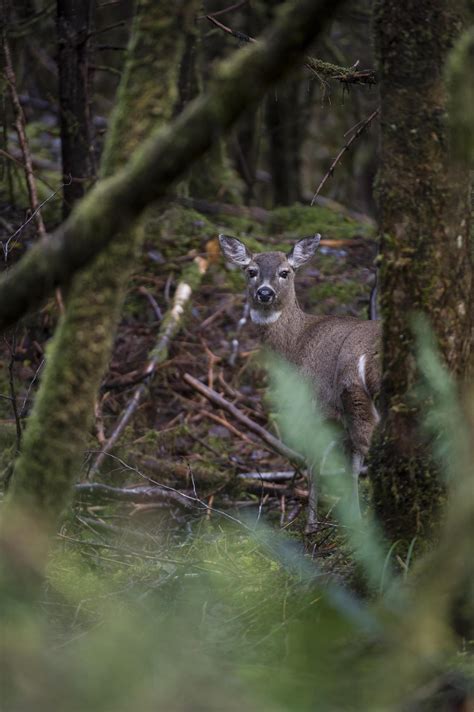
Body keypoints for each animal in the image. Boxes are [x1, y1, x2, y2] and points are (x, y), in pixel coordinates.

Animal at [219, 232, 382, 528]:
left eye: (285, 272)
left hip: (356, 398)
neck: (296, 343)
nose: (265, 293)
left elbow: (316, 464)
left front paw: (311, 525)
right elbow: (349, 466)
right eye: (251, 271)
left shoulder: (314, 405)